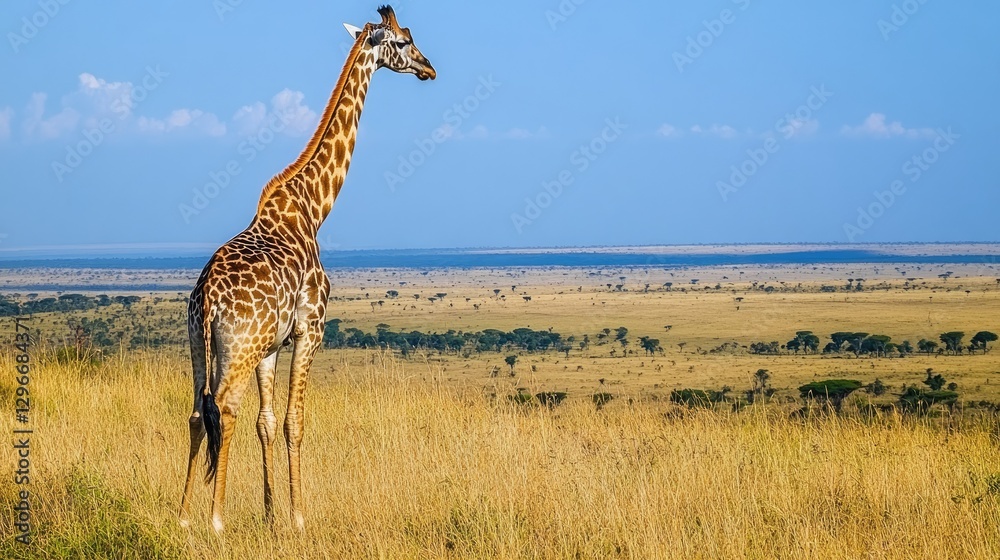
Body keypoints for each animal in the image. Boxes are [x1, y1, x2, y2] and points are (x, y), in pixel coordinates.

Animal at [178, 5, 435, 533]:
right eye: (403, 41)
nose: (430, 68)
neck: (314, 207)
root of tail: (208, 299)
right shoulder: (310, 327)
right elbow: (295, 421)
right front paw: (298, 517)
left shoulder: (272, 345)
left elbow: (268, 421)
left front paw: (272, 513)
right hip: (236, 348)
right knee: (224, 409)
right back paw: (215, 520)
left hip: (198, 341)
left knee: (197, 413)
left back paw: (183, 516)